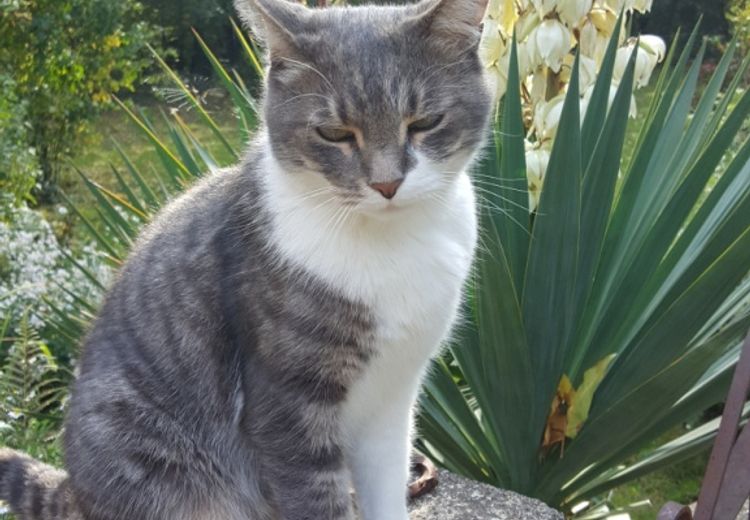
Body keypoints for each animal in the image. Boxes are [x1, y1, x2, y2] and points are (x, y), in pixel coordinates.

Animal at [0, 0, 494, 516]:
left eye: (424, 123)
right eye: (334, 133)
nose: (386, 184)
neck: (391, 241)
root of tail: (74, 490)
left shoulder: (393, 397)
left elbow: (386, 485)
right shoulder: (285, 407)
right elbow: (314, 495)